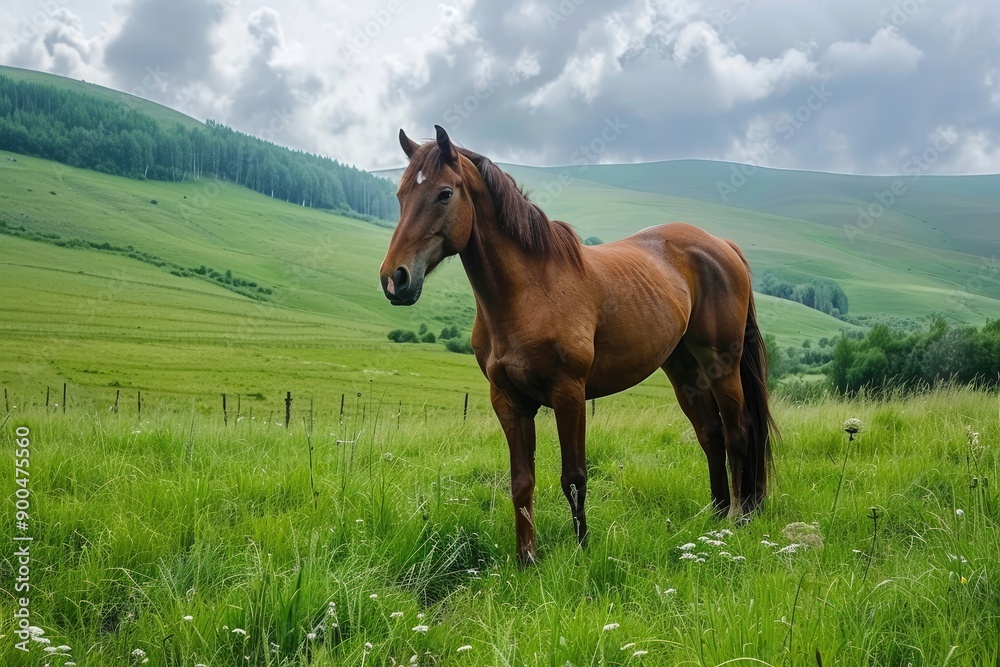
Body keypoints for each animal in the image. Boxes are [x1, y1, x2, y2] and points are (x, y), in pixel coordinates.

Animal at [380, 126, 776, 565]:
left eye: (445, 193)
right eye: (400, 195)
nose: (395, 279)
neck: (530, 292)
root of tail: (721, 244)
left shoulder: (569, 394)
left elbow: (574, 477)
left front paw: (582, 550)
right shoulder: (509, 402)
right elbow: (522, 482)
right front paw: (527, 560)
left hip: (721, 363)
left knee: (739, 432)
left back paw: (738, 518)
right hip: (682, 368)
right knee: (711, 435)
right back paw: (716, 518)